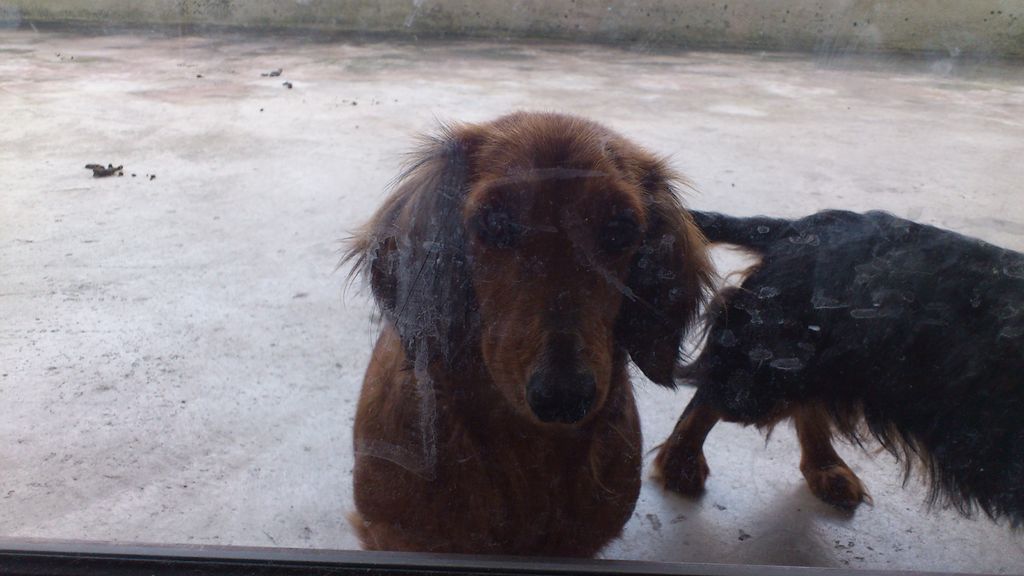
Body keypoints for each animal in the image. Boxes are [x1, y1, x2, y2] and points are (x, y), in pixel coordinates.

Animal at [653, 209, 1024, 527]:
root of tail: (797, 228)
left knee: (804, 399)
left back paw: (826, 469)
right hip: (762, 371)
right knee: (711, 393)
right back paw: (682, 461)